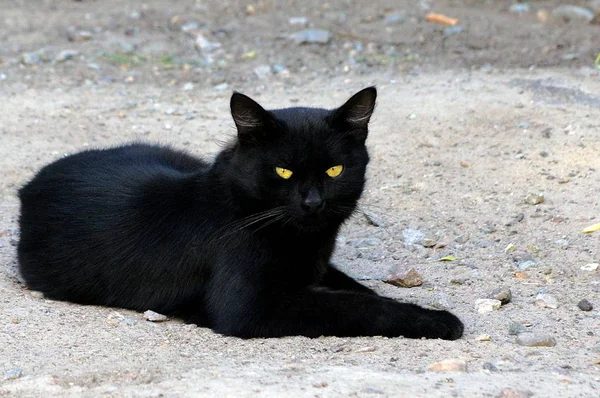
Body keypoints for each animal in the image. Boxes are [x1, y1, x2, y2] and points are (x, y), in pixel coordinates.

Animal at [15, 88, 464, 338]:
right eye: (283, 171)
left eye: (334, 170)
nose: (313, 203)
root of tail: (29, 185)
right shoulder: (251, 307)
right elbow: (355, 306)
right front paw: (439, 321)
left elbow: (355, 289)